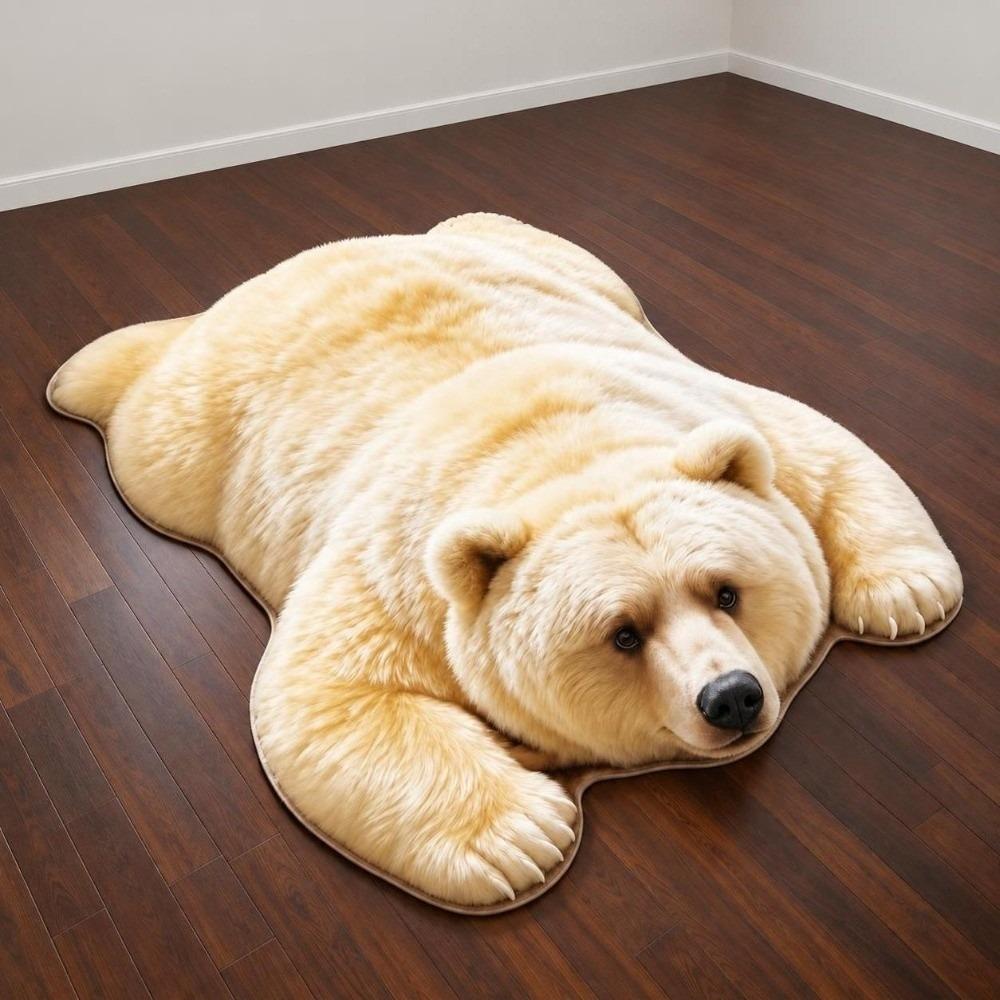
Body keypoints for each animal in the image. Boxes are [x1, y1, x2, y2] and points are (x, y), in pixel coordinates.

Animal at [48, 213, 962, 906]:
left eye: (727, 590)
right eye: (623, 633)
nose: (731, 697)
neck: (555, 446)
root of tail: (286, 265)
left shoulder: (701, 406)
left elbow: (816, 447)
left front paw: (907, 592)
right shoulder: (400, 567)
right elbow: (331, 689)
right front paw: (524, 832)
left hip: (555, 258)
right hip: (193, 436)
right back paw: (78, 374)